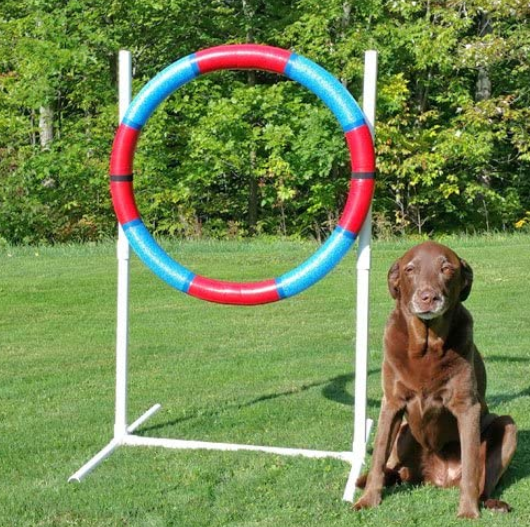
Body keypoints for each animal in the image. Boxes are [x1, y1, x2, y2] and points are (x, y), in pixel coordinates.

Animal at [352, 242, 512, 520]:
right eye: (410, 269)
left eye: (446, 268)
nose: (429, 297)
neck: (426, 348)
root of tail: (437, 478)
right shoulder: (391, 403)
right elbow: (379, 454)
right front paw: (368, 500)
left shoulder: (467, 407)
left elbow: (471, 466)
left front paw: (468, 512)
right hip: (404, 432)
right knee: (390, 467)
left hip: (507, 426)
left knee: (484, 480)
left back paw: (492, 502)